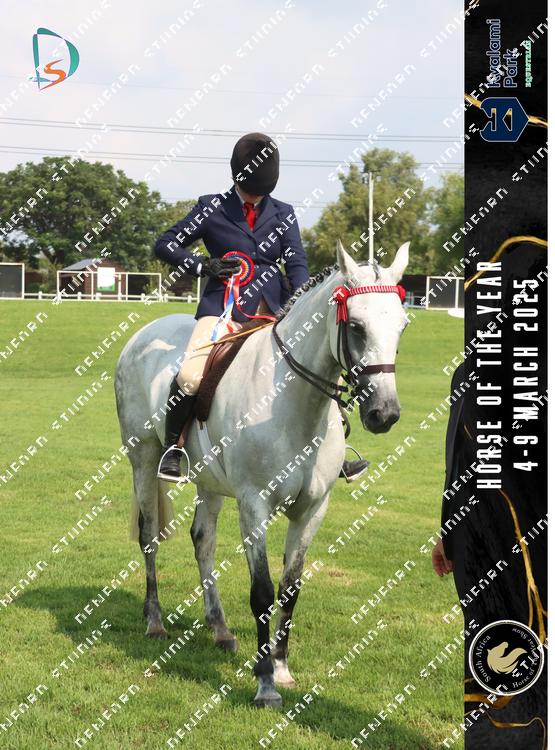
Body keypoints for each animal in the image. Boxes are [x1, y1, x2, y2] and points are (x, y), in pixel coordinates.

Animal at [114, 240, 409, 707]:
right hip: (142, 459)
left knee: (203, 540)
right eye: (357, 326)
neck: (292, 399)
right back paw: (155, 621)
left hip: (209, 481)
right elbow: (263, 592)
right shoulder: (254, 505)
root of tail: (145, 333)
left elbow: (290, 588)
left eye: (401, 326)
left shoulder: (312, 510)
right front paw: (266, 682)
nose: (385, 414)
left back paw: (219, 629)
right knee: (148, 536)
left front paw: (283, 669)